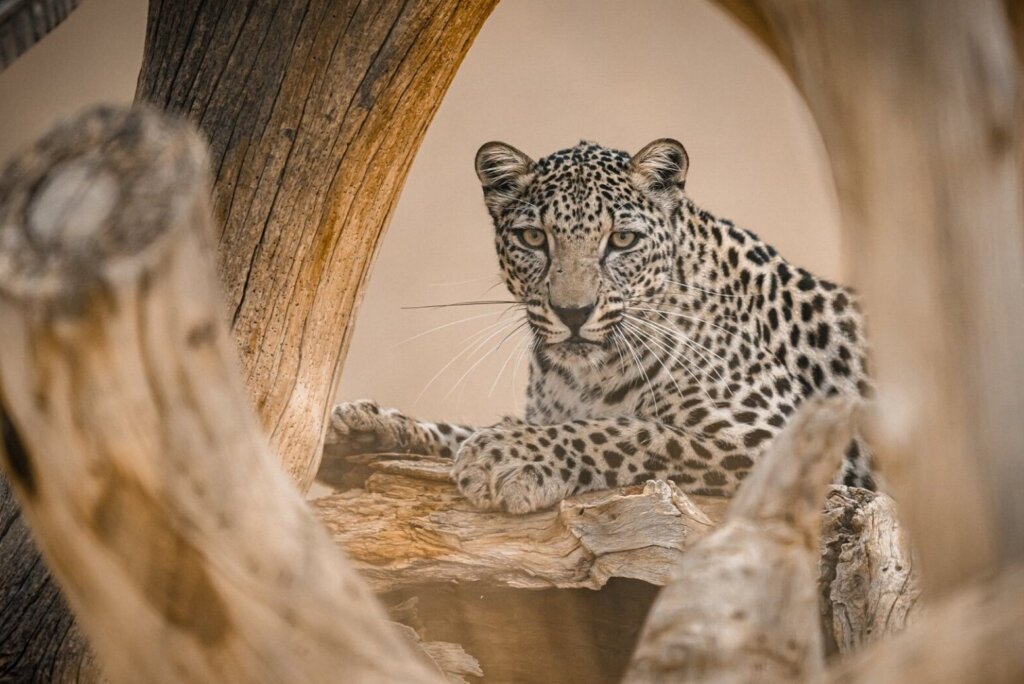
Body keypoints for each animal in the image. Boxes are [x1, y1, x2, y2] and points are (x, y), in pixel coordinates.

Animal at [327, 138, 873, 514]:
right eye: (533, 238)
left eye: (622, 240)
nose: (573, 313)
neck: (584, 373)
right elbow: (470, 427)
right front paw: (370, 427)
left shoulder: (780, 437)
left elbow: (629, 432)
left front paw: (506, 456)